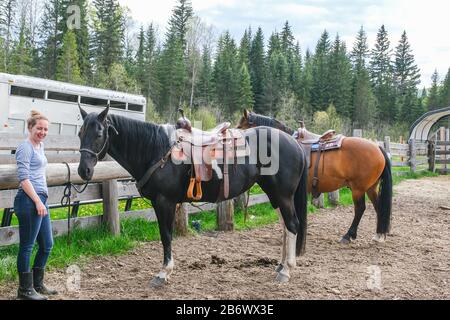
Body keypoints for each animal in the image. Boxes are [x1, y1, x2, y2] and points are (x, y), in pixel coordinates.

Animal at [77, 106, 310, 286]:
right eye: (80, 133)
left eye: (99, 134)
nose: (83, 171)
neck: (156, 149)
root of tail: (294, 143)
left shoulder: (165, 202)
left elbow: (166, 236)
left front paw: (163, 273)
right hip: (275, 195)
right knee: (284, 226)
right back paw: (280, 266)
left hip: (283, 195)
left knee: (292, 225)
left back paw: (286, 271)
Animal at [237, 110, 392, 242]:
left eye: (240, 127)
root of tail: (377, 147)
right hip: (371, 188)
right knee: (378, 206)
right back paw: (379, 235)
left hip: (358, 189)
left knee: (360, 209)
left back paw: (348, 235)